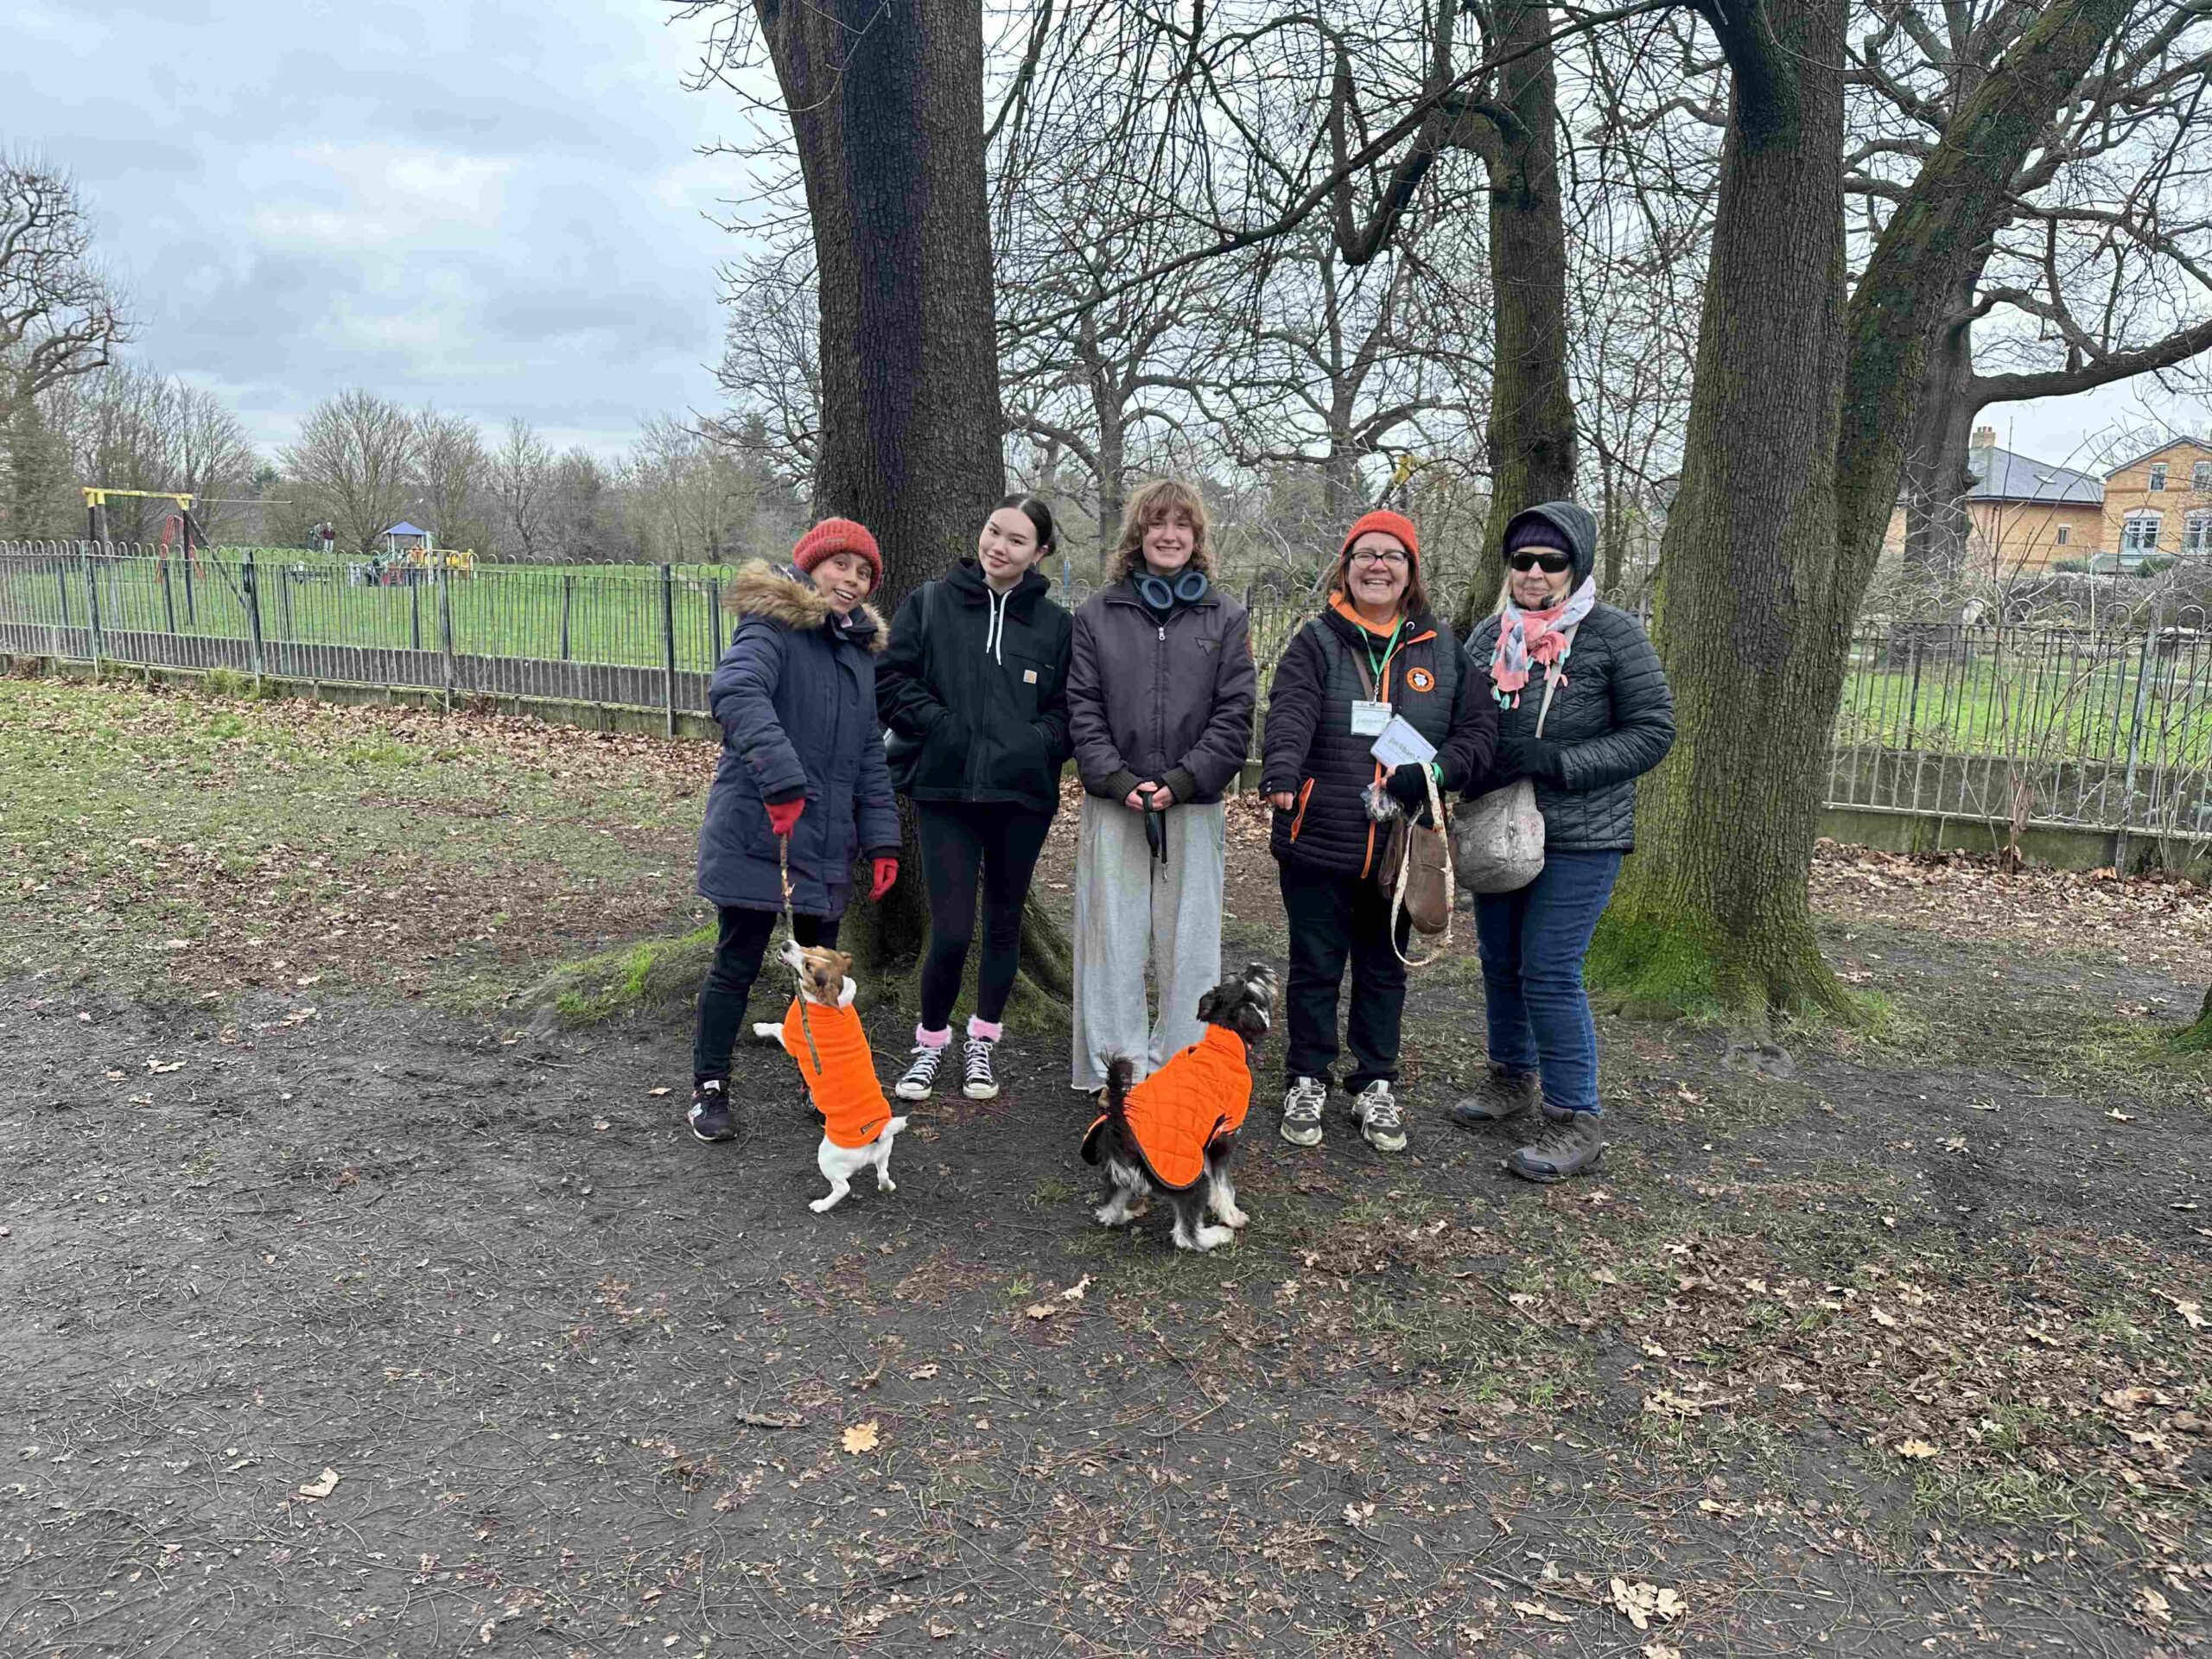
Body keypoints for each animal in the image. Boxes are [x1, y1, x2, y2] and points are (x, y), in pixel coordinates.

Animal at [752, 942, 906, 1211]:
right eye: (813, 946)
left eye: (808, 967)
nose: (786, 944)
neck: (835, 1002)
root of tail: (876, 1135)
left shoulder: (790, 1038)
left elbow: (776, 1027)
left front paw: (760, 1027)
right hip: (885, 1153)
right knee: (883, 1174)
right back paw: (885, 1187)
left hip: (827, 1158)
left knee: (843, 1188)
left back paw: (821, 1205)